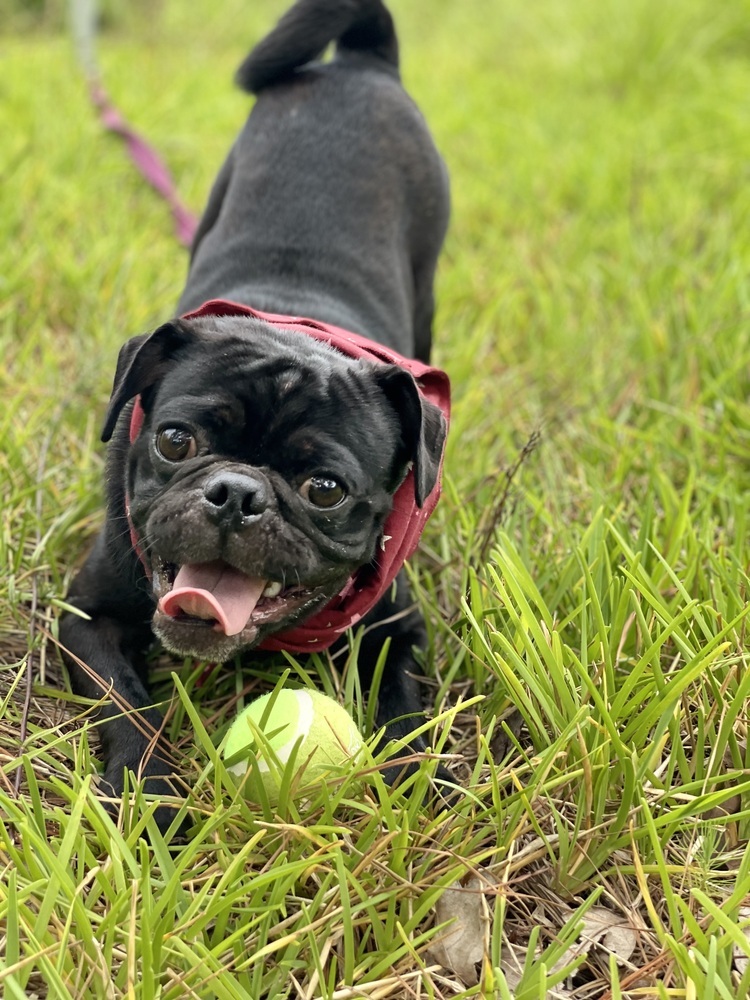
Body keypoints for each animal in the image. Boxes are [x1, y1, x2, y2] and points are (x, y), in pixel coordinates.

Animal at [60, 0, 452, 832]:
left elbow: (406, 708)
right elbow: (129, 706)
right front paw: (150, 792)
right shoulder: (88, 619)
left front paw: (411, 785)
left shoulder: (398, 630)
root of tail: (359, 63)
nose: (236, 493)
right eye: (175, 441)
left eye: (325, 490)